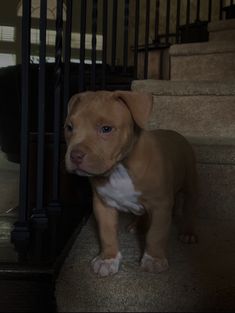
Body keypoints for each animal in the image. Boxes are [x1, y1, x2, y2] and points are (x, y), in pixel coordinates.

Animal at [63, 89, 196, 276]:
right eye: (69, 127)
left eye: (106, 129)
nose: (75, 155)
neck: (119, 169)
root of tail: (175, 133)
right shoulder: (103, 204)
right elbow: (106, 233)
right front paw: (108, 259)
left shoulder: (160, 205)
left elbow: (156, 233)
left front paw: (154, 259)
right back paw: (137, 225)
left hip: (190, 183)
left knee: (190, 208)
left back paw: (189, 232)